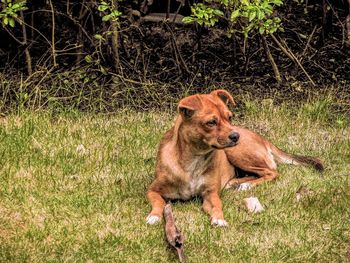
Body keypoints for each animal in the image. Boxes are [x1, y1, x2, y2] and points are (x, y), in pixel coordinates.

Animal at [146, 90, 324, 227]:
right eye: (211, 122)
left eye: (229, 117)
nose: (235, 136)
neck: (194, 159)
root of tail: (263, 138)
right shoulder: (153, 190)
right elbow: (159, 203)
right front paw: (154, 216)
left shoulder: (211, 195)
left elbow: (217, 206)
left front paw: (219, 219)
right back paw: (238, 183)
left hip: (237, 153)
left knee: (271, 172)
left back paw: (247, 185)